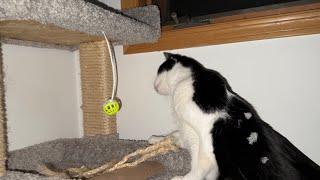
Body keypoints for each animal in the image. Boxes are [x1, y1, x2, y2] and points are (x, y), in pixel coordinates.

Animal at [149, 51, 320, 179]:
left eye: (158, 71)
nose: (153, 86)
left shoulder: (205, 143)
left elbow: (199, 167)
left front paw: (183, 178)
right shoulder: (189, 133)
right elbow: (175, 135)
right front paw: (156, 139)